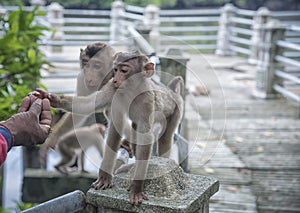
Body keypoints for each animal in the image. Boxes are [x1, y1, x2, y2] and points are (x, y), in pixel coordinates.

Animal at [34, 50, 185, 206]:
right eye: (115, 70)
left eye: (124, 70)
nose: (116, 80)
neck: (131, 90)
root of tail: (171, 90)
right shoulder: (113, 90)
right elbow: (93, 107)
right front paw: (52, 98)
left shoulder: (146, 99)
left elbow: (145, 136)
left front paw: (137, 187)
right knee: (136, 128)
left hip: (177, 109)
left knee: (165, 137)